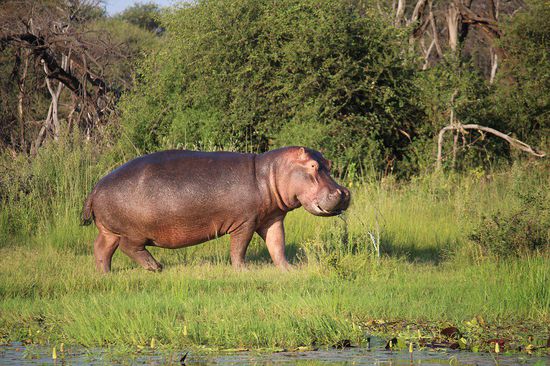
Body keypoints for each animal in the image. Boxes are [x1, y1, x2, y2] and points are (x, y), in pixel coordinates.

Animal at [82, 147, 352, 272]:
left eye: (329, 164)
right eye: (314, 166)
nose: (343, 193)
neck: (270, 174)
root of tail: (95, 187)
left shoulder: (272, 218)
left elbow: (277, 245)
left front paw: (289, 269)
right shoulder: (245, 222)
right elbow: (239, 248)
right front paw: (243, 270)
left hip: (108, 230)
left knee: (101, 248)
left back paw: (105, 273)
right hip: (133, 231)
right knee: (129, 248)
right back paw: (156, 267)